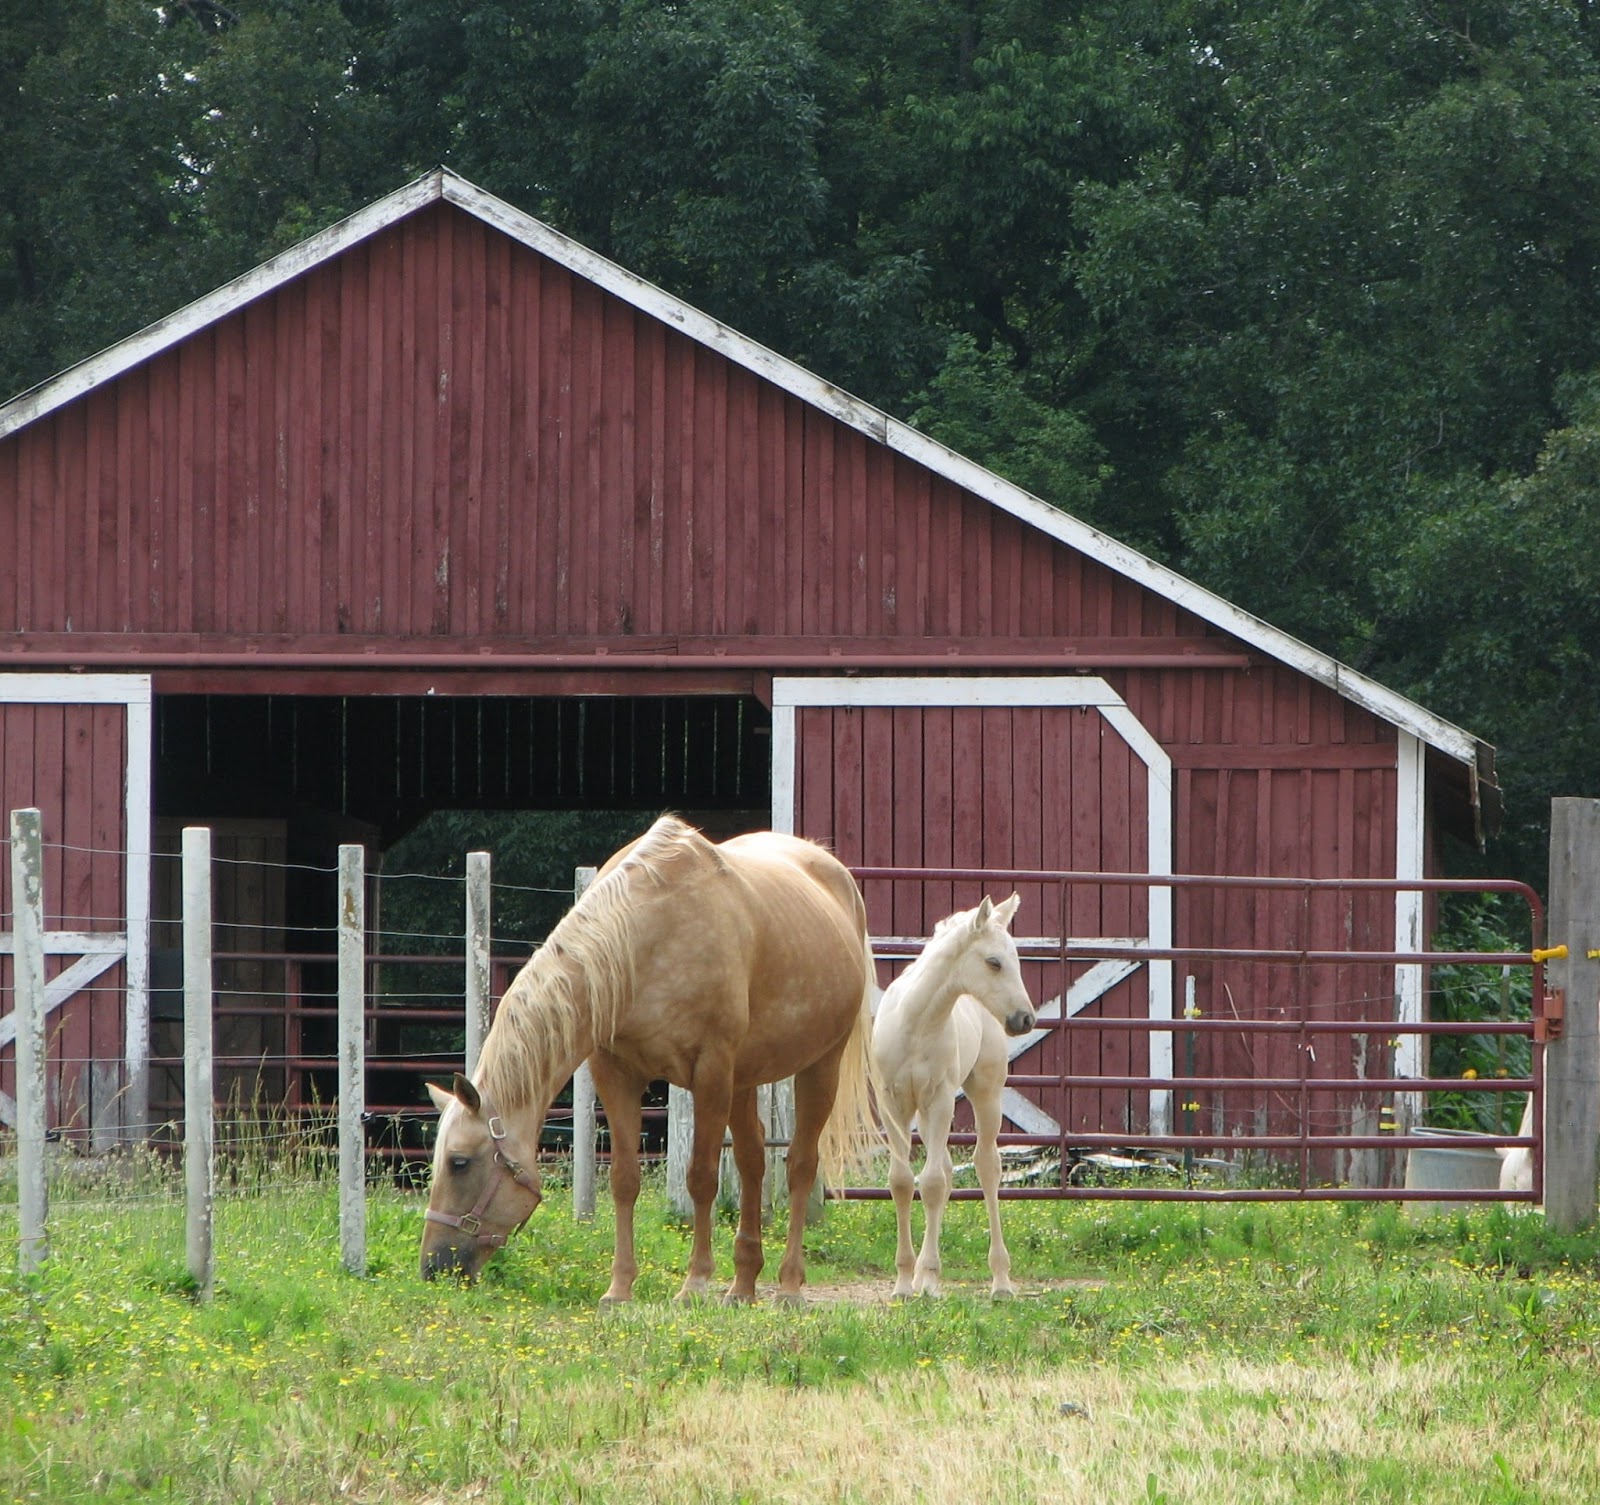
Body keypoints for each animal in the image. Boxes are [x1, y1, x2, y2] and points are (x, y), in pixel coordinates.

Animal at [419, 815, 878, 1305]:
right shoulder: (616, 1074)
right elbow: (624, 1180)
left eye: (459, 1162)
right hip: (745, 1078)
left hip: (819, 1066)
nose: (434, 1268)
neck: (647, 936)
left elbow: (700, 1178)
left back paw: (789, 1285)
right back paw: (742, 1285)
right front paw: (619, 1288)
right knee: (752, 1159)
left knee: (800, 1165)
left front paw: (695, 1282)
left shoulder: (710, 1072)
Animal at [871, 894, 1037, 1298]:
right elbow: (902, 1182)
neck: (915, 1025)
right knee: (946, 1170)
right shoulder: (892, 1104)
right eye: (994, 962)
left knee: (986, 1167)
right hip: (924, 1112)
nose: (1025, 1019)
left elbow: (931, 1184)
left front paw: (928, 1282)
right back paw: (922, 1277)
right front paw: (904, 1283)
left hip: (984, 1093)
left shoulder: (941, 1099)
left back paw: (999, 1282)